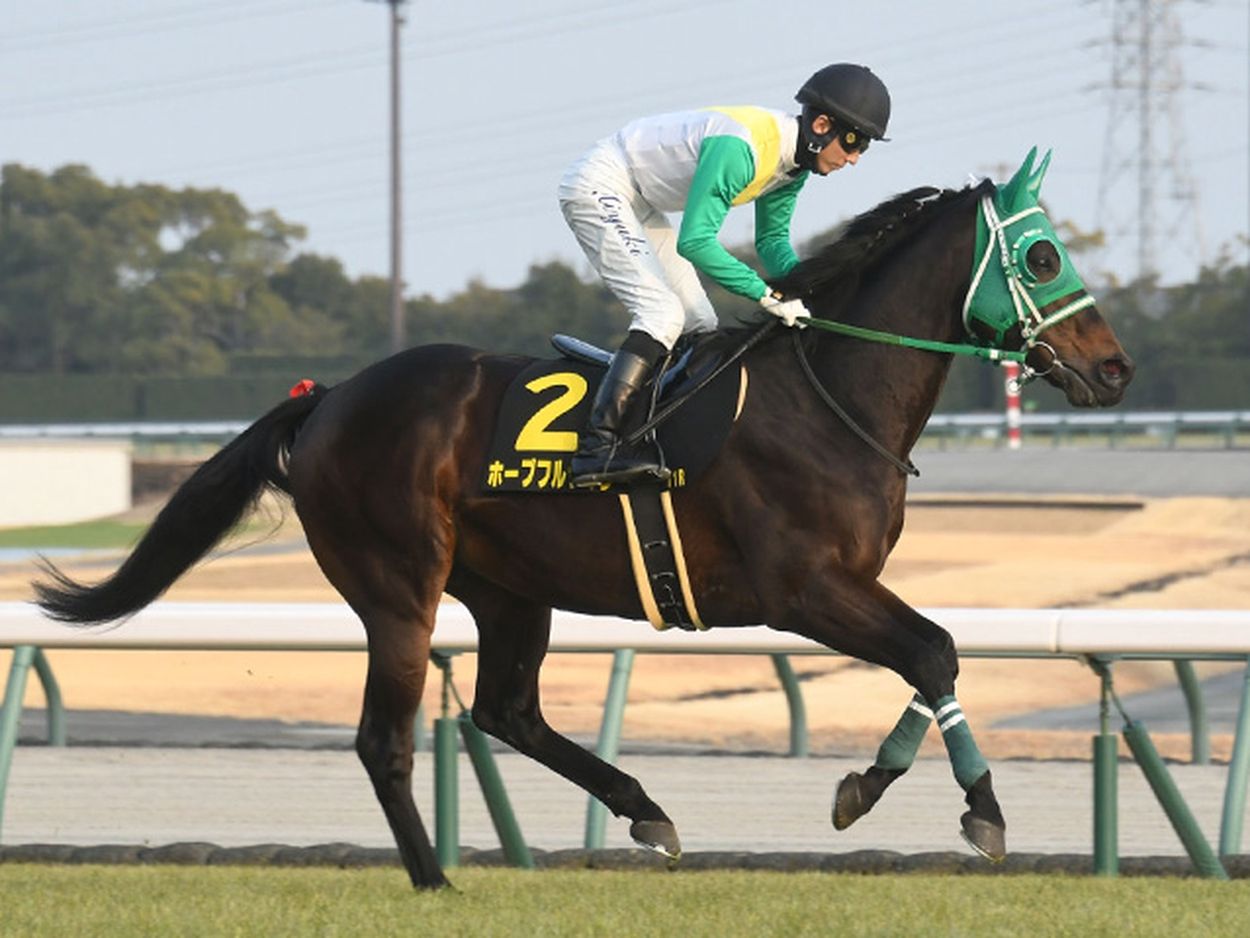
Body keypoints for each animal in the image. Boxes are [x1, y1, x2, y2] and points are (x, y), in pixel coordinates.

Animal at [36, 154, 1135, 890]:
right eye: (1042, 255)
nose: (1116, 368)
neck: (826, 395)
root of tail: (330, 396)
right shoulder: (803, 589)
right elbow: (934, 649)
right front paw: (976, 811)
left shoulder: (844, 586)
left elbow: (931, 656)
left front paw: (867, 788)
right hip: (399, 586)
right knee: (385, 738)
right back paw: (435, 878)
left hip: (508, 590)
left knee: (505, 710)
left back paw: (644, 812)